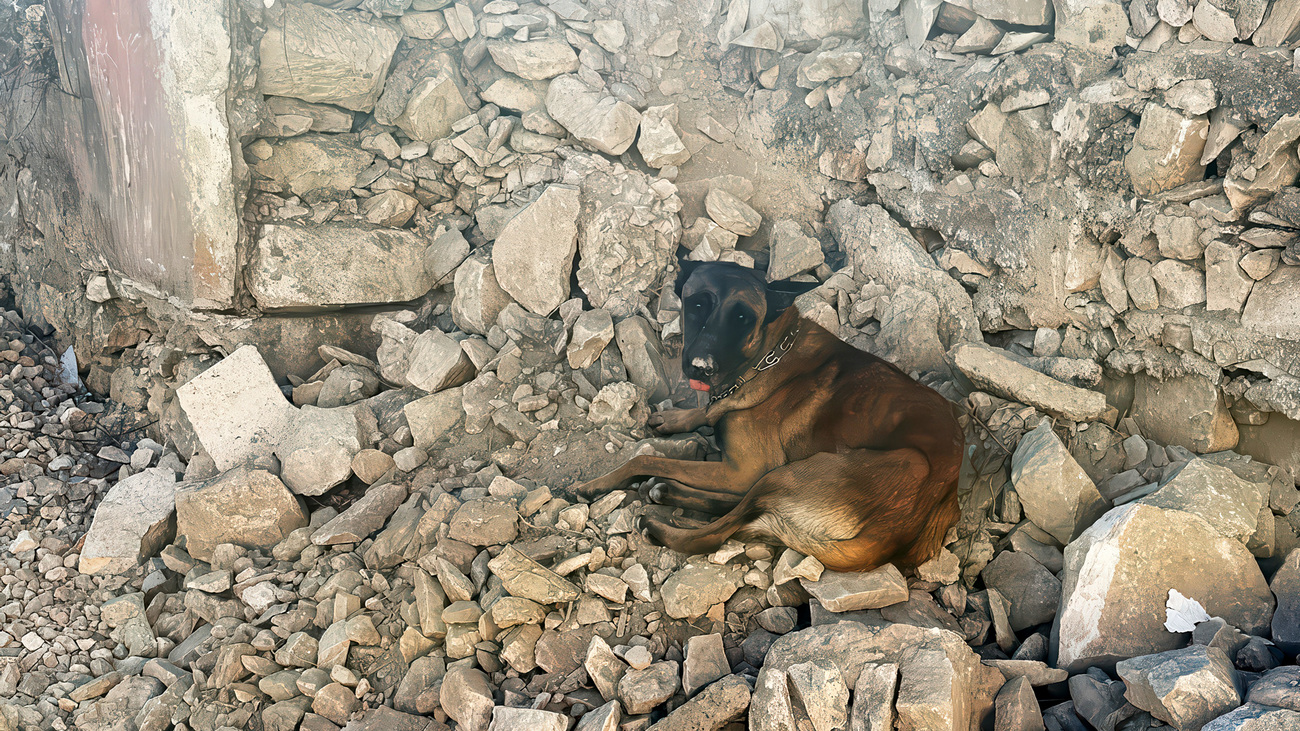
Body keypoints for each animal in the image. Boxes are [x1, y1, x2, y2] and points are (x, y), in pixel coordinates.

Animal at [572, 258, 967, 572]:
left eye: (743, 318)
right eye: (697, 304)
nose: (701, 368)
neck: (768, 355)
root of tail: (892, 536)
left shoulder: (742, 469)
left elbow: (645, 458)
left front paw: (599, 483)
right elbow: (703, 414)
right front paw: (676, 419)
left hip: (789, 474)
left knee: (714, 532)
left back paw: (658, 523)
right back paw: (666, 491)